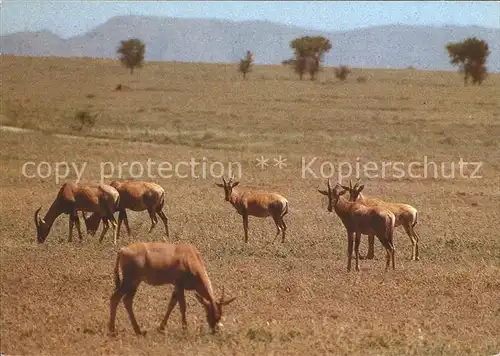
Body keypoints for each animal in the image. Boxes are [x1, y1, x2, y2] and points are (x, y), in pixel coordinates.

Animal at [108, 241, 237, 336]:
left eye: (219, 315)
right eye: (210, 313)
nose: (214, 331)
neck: (189, 256)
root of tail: (122, 250)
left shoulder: (176, 286)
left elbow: (171, 304)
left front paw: (161, 328)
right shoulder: (179, 284)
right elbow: (182, 306)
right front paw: (185, 329)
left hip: (135, 282)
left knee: (127, 300)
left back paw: (139, 331)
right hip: (129, 281)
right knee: (115, 297)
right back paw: (113, 331)